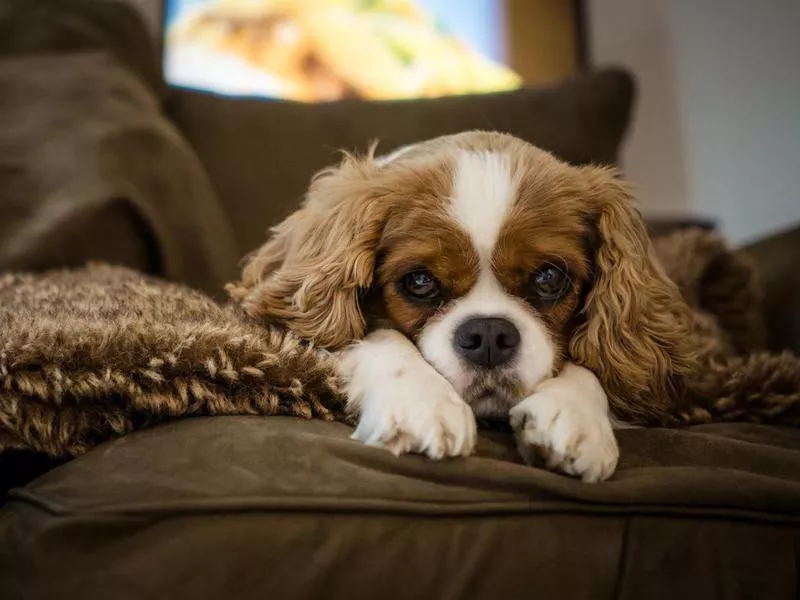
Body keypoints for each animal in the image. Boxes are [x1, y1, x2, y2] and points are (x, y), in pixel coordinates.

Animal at [228, 131, 696, 482]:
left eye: (549, 277)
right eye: (419, 282)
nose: (489, 334)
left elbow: (591, 361)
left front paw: (574, 413)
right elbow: (380, 338)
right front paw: (422, 401)